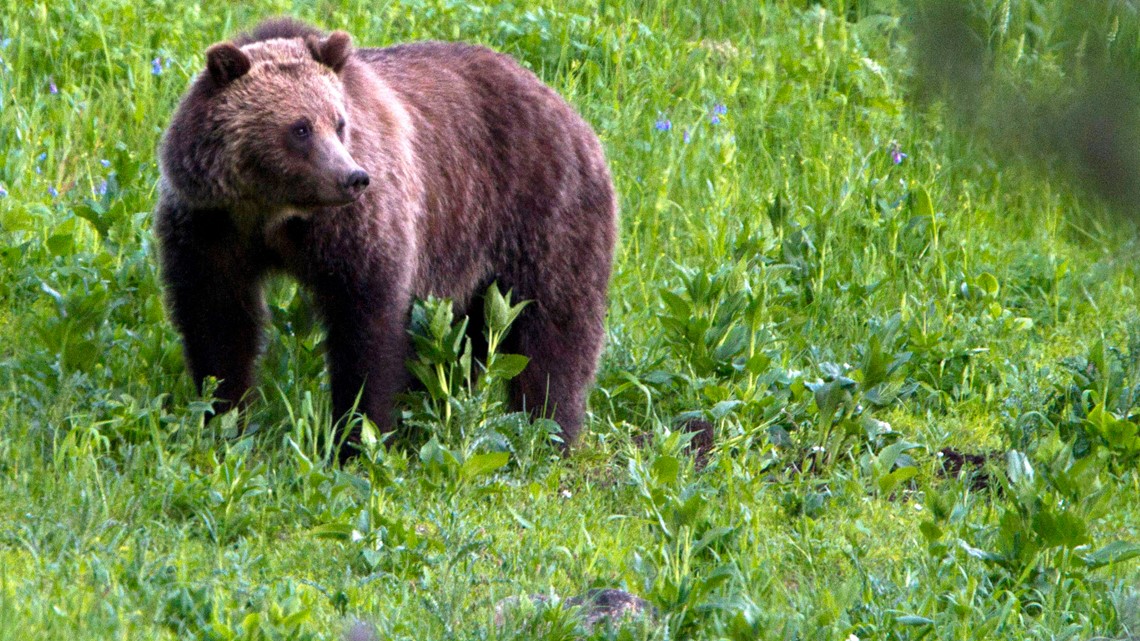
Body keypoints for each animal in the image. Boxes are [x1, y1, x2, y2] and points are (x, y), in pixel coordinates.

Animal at [157, 17, 620, 456]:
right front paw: (223, 417)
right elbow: (217, 320)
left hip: (541, 210)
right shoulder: (211, 227)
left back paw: (549, 431)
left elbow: (367, 325)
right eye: (300, 128)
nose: (353, 177)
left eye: (339, 122)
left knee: (555, 327)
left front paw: (358, 436)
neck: (273, 212)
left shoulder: (355, 229)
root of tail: (568, 108)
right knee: (466, 338)